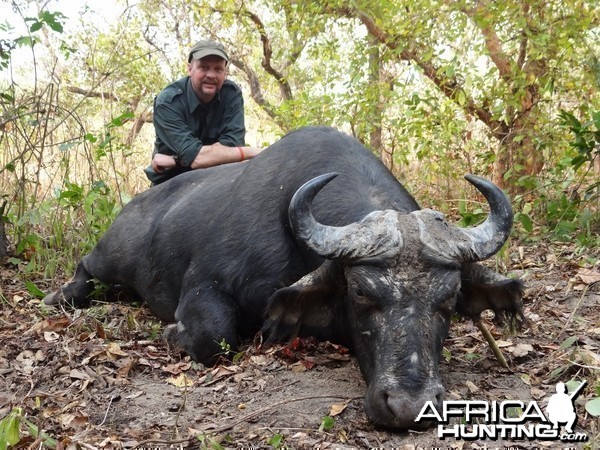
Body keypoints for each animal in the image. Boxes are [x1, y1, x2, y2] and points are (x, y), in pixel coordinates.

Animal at [44, 126, 524, 428]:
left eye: (448, 299)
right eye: (362, 293)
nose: (410, 407)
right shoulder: (206, 288)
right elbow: (214, 337)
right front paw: (171, 333)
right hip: (112, 255)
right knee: (87, 268)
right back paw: (60, 296)